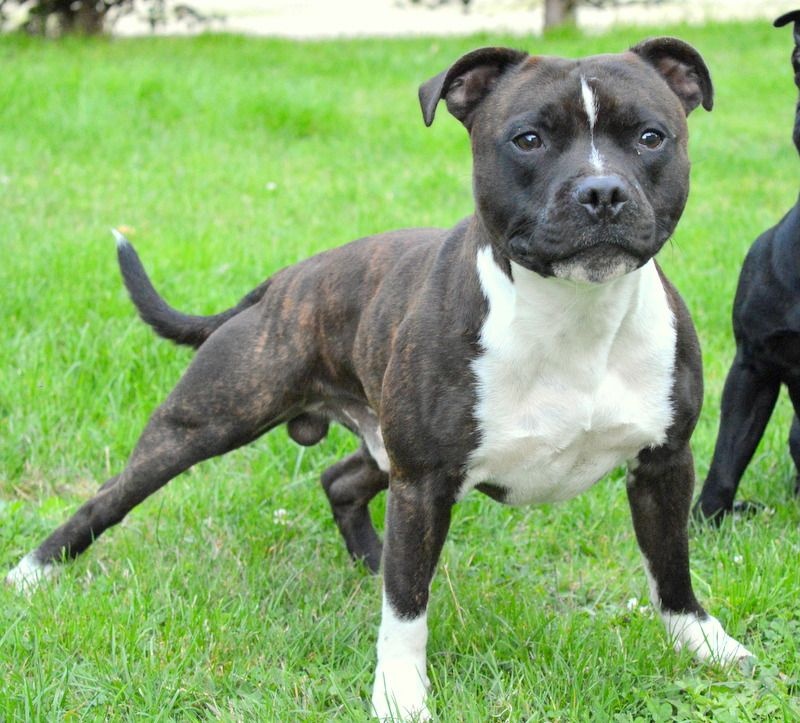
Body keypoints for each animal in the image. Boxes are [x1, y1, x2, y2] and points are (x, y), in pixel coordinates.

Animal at [7, 37, 752, 720]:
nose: (602, 191)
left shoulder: (663, 462)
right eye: (529, 139)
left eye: (651, 137)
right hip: (208, 421)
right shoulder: (424, 483)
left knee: (340, 481)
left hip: (381, 444)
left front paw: (703, 643)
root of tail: (284, 281)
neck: (575, 317)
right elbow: (407, 607)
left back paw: (370, 557)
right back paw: (31, 572)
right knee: (108, 499)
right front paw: (399, 693)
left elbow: (671, 567)